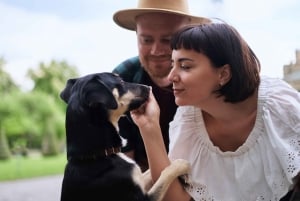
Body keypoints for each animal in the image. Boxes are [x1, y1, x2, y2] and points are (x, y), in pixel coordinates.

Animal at [59, 73, 189, 201]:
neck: (97, 155)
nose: (148, 87)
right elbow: (164, 175)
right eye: (121, 81)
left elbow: (152, 172)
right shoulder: (141, 198)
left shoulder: (138, 178)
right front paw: (181, 164)